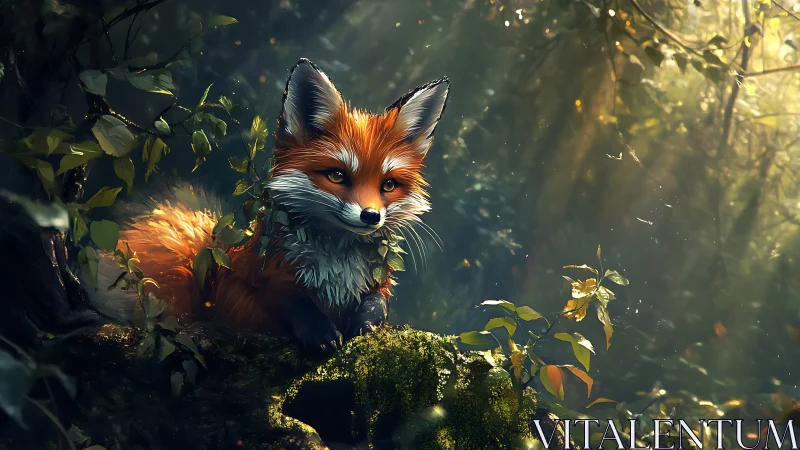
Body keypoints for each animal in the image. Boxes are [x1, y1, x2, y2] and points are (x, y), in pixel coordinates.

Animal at [85, 59, 450, 353]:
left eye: (388, 185)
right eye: (337, 175)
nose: (371, 216)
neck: (336, 267)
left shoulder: (378, 282)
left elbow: (378, 301)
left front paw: (366, 323)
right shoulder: (260, 279)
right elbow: (292, 301)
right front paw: (320, 332)